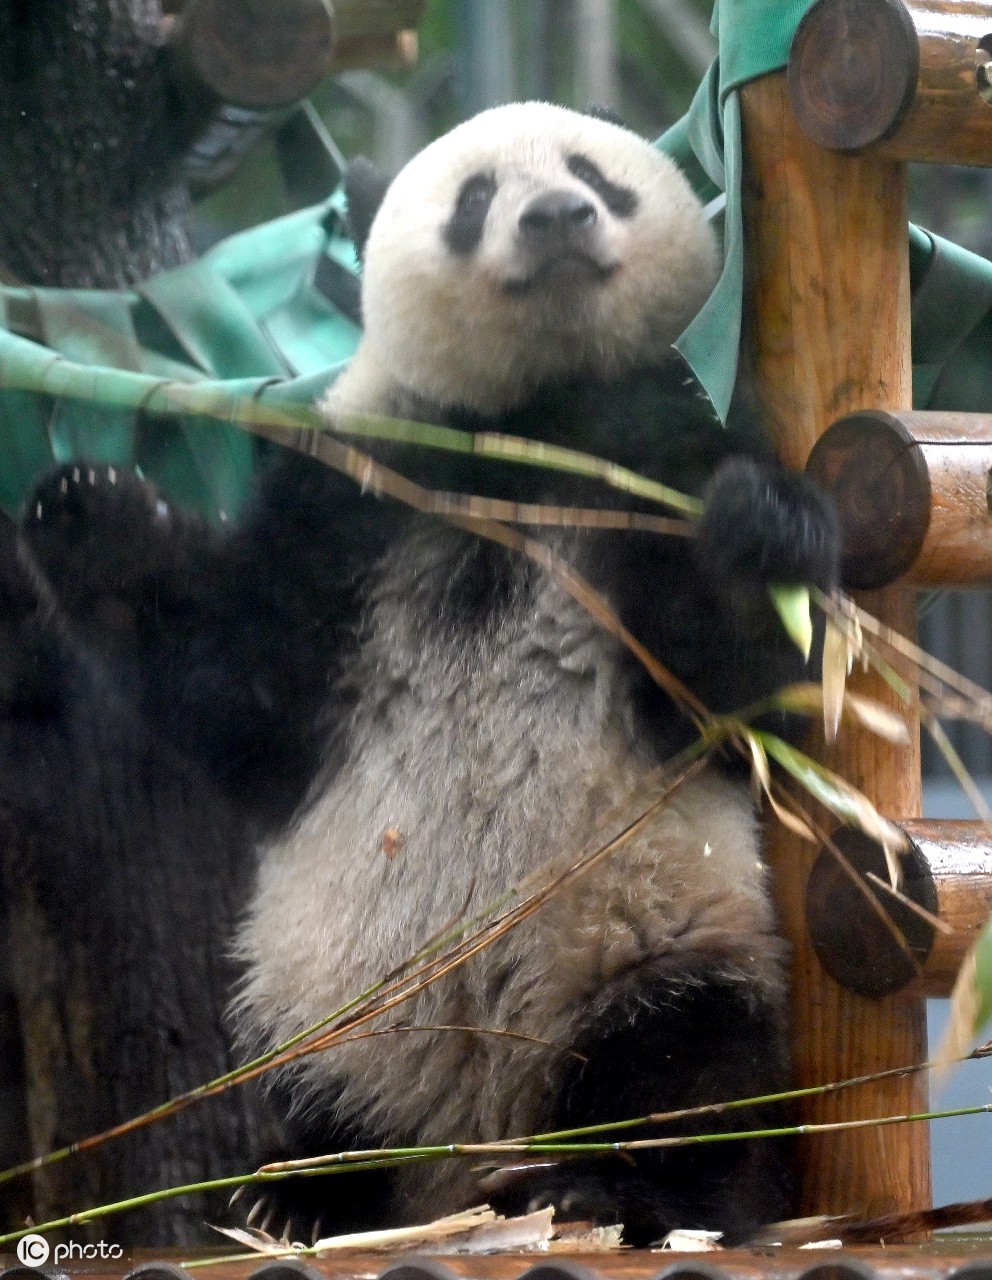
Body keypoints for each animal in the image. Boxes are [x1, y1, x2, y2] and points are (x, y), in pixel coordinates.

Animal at [0, 102, 839, 1249]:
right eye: (476, 196)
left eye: (594, 176)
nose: (557, 215)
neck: (520, 425)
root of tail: (468, 1151)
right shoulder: (361, 496)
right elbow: (237, 687)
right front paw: (85, 507)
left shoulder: (650, 457)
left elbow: (744, 685)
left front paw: (758, 531)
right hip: (325, 1000)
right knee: (313, 1089)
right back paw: (302, 1192)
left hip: (652, 933)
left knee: (687, 1064)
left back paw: (616, 1191)